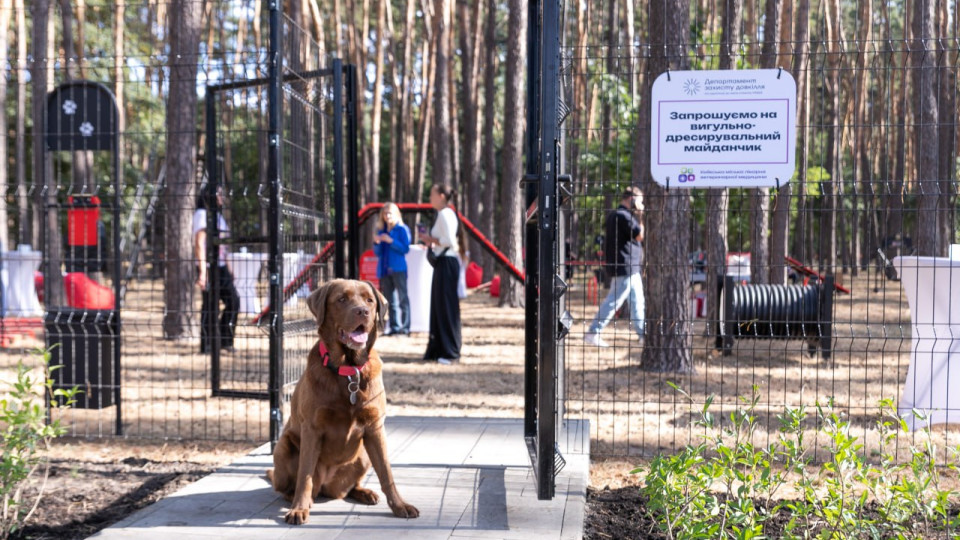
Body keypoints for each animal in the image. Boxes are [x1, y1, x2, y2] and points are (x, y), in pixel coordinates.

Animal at [264, 278, 418, 524]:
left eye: (369, 300)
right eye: (342, 299)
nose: (362, 311)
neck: (348, 369)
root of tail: (329, 487)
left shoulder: (375, 427)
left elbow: (386, 473)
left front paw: (400, 505)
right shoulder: (312, 428)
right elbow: (305, 476)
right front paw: (299, 509)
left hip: (363, 454)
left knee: (352, 486)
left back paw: (365, 492)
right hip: (283, 446)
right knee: (289, 487)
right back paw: (300, 500)